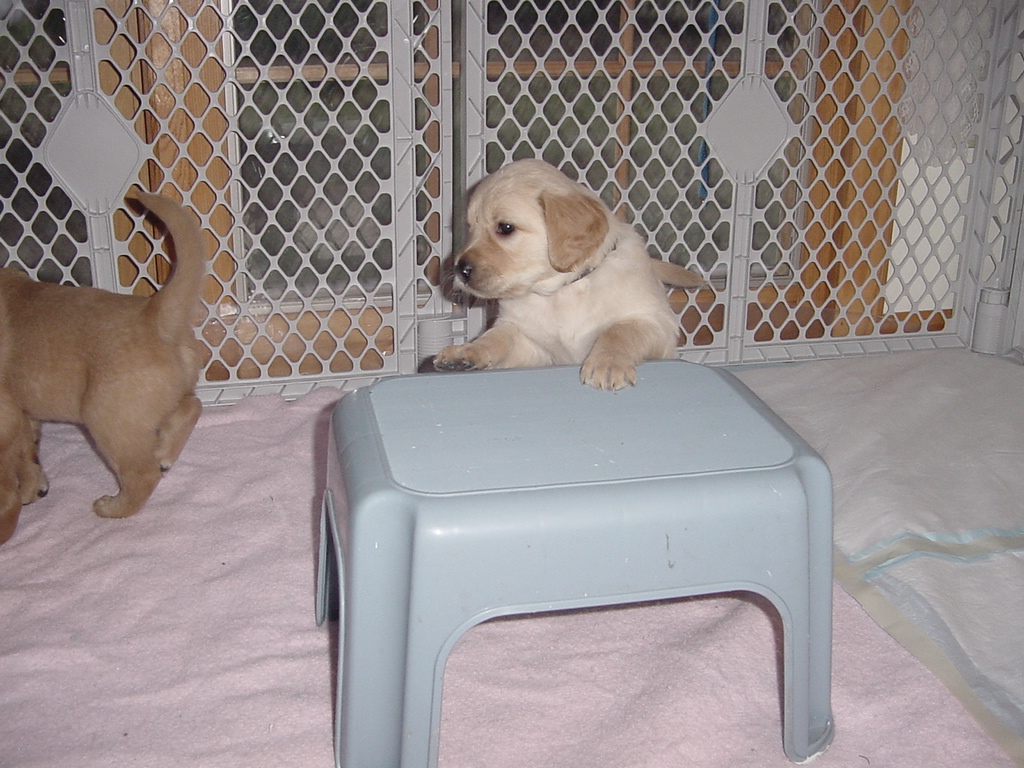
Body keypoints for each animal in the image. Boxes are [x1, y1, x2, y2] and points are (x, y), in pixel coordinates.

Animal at [0, 189, 207, 544]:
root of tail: (152, 314)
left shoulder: (9, 414)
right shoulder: (23, 416)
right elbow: (28, 453)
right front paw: (34, 487)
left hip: (104, 419)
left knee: (141, 474)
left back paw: (113, 507)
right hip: (151, 404)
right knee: (192, 405)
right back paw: (164, 453)